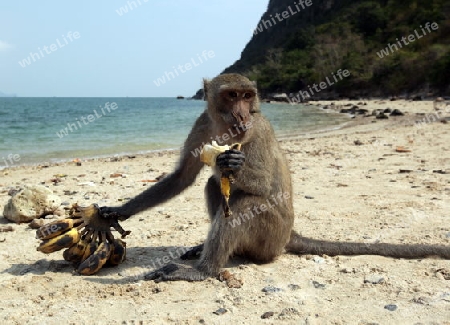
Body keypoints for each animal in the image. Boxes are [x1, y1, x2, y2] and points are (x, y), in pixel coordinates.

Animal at [100, 73, 448, 280]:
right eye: (231, 95)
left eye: (246, 96)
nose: (242, 114)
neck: (226, 128)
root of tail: (289, 235)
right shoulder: (202, 126)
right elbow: (182, 178)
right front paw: (116, 212)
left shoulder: (256, 131)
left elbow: (263, 185)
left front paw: (231, 161)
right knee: (215, 187)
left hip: (269, 237)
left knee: (243, 204)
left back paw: (204, 271)